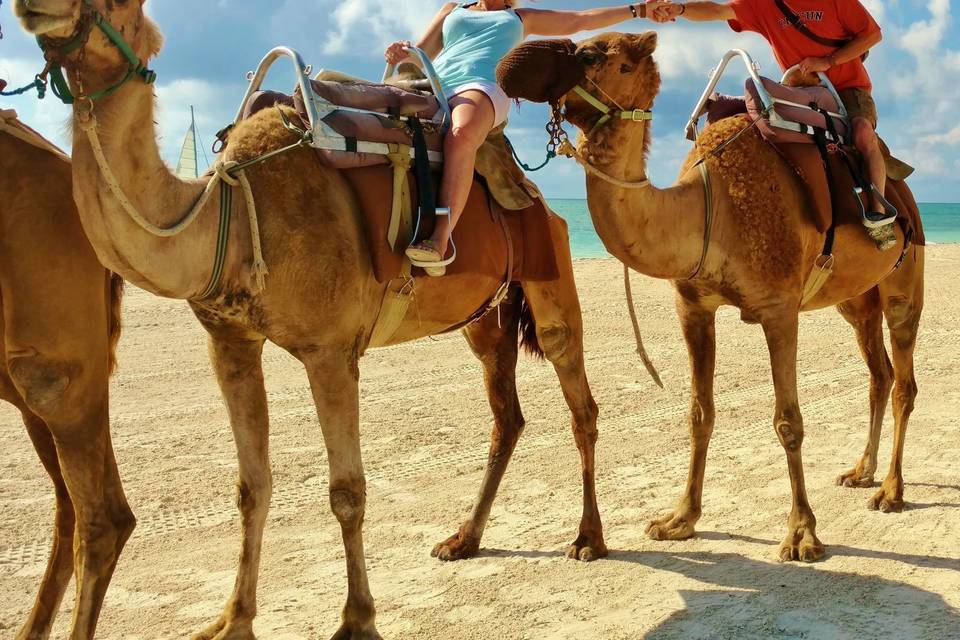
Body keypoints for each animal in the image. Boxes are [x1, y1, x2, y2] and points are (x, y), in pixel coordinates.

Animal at [15, 2, 606, 638]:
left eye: (121, 8)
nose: (38, 12)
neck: (233, 213)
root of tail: (533, 187)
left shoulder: (330, 350)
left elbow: (347, 491)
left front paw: (357, 620)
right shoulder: (230, 342)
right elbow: (252, 486)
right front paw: (233, 620)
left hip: (549, 263)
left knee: (578, 396)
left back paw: (587, 538)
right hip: (484, 317)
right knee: (506, 416)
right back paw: (463, 539)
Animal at [498, 32, 923, 562]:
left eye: (594, 54)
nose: (510, 64)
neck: (707, 209)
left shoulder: (779, 309)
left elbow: (788, 421)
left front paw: (802, 535)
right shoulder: (693, 307)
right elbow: (699, 413)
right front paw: (678, 519)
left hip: (904, 276)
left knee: (904, 378)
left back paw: (891, 491)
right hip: (855, 298)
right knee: (878, 373)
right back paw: (861, 472)